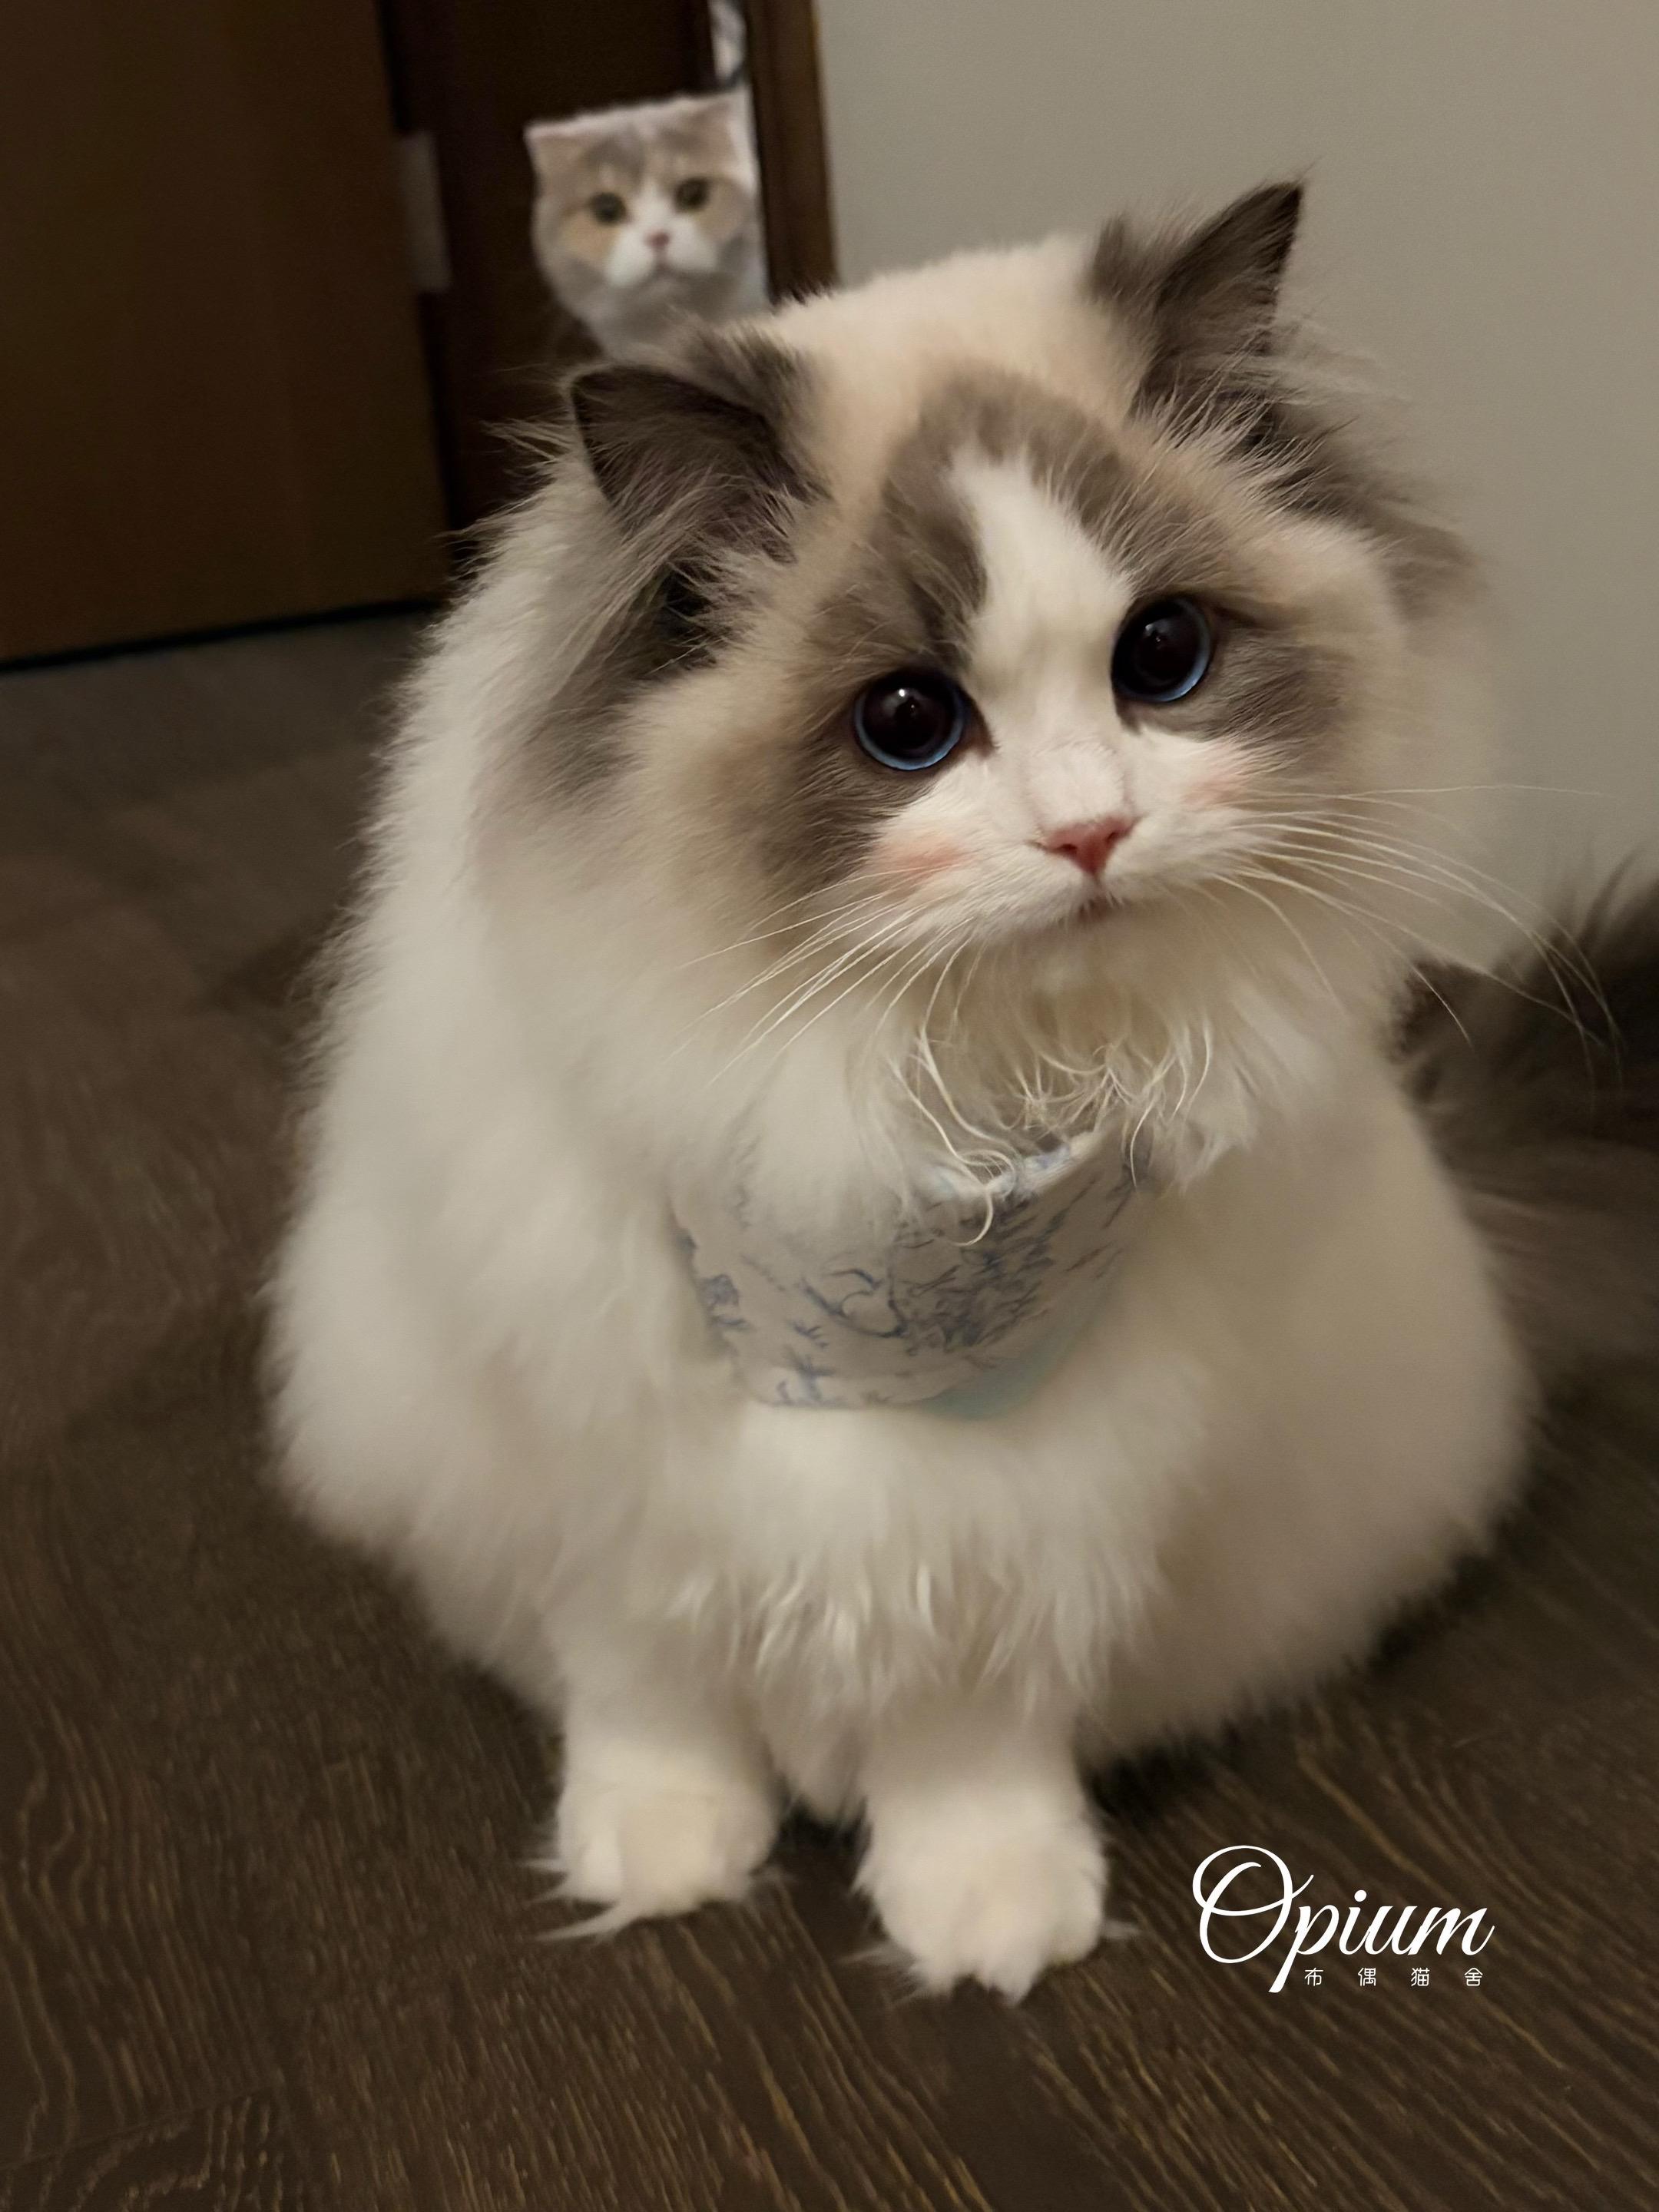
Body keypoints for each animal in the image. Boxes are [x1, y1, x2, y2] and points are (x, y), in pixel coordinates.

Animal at [270, 185, 1659, 1997]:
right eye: (910, 723)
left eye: (1164, 657)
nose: (1089, 833)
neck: (921, 1123)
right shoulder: (603, 1470)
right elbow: (649, 1691)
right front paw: (662, 1859)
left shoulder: (1033, 1508)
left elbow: (966, 1730)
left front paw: (987, 1914)